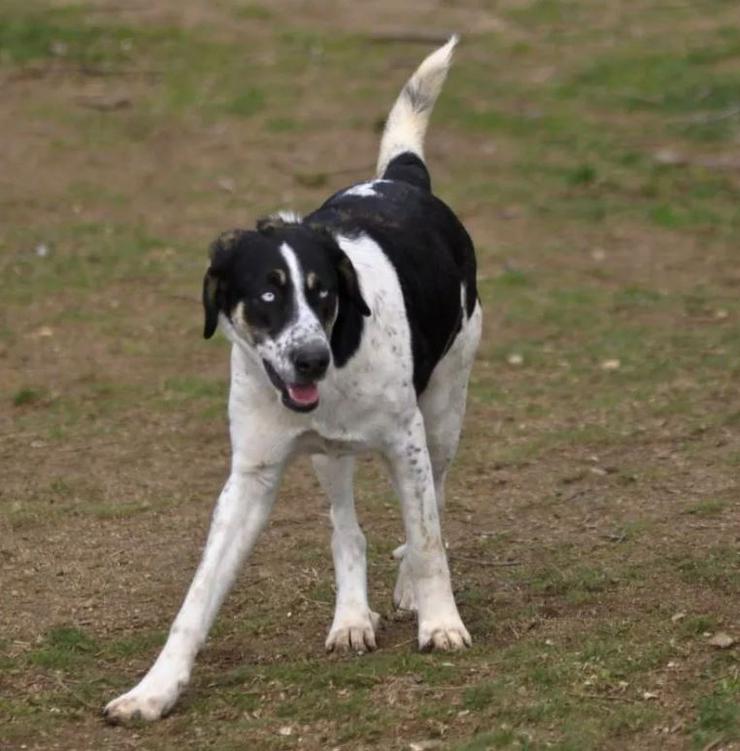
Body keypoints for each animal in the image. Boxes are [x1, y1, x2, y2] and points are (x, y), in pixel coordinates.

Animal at [107, 33, 482, 724]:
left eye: (323, 292)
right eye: (266, 296)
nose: (310, 359)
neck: (339, 356)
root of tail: (398, 177)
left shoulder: (408, 444)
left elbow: (428, 538)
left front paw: (440, 621)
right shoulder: (250, 478)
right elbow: (197, 598)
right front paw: (154, 689)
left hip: (444, 416)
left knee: (435, 503)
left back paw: (408, 591)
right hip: (329, 457)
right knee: (347, 530)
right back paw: (352, 617)